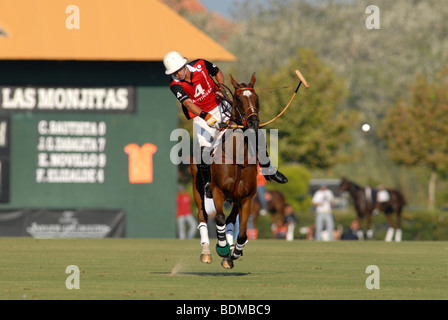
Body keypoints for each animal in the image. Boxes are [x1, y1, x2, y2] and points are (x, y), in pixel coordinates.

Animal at [191, 72, 260, 268]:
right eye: (238, 99)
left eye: (256, 98)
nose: (253, 122)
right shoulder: (217, 191)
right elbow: (219, 218)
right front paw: (222, 247)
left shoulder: (246, 198)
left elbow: (242, 233)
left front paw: (234, 252)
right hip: (197, 188)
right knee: (202, 216)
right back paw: (207, 252)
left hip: (235, 199)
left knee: (230, 221)